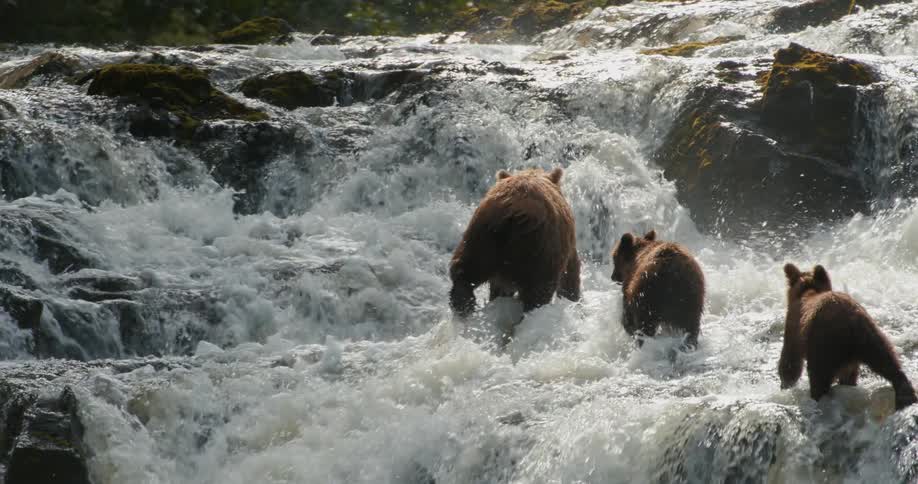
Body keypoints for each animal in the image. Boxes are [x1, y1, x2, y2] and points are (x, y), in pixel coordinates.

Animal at [448, 167, 581, 329]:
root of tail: (514, 213)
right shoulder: (567, 244)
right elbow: (571, 273)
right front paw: (573, 300)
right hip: (540, 250)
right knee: (537, 294)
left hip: (481, 235)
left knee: (465, 270)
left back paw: (465, 306)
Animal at [779, 263, 917, 410]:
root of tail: (848, 322)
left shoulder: (793, 329)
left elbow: (790, 361)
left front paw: (786, 384)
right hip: (869, 335)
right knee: (887, 360)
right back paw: (906, 396)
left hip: (823, 342)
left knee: (818, 376)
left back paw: (816, 397)